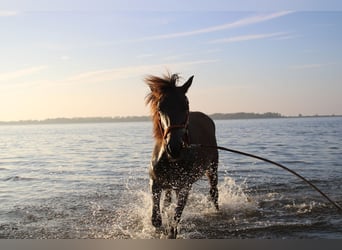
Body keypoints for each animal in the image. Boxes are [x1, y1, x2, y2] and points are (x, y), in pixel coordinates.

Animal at [144, 73, 219, 238]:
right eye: (160, 107)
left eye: (186, 106)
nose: (174, 147)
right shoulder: (155, 182)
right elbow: (156, 218)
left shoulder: (184, 187)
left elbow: (175, 219)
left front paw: (170, 231)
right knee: (167, 200)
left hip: (212, 169)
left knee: (214, 193)